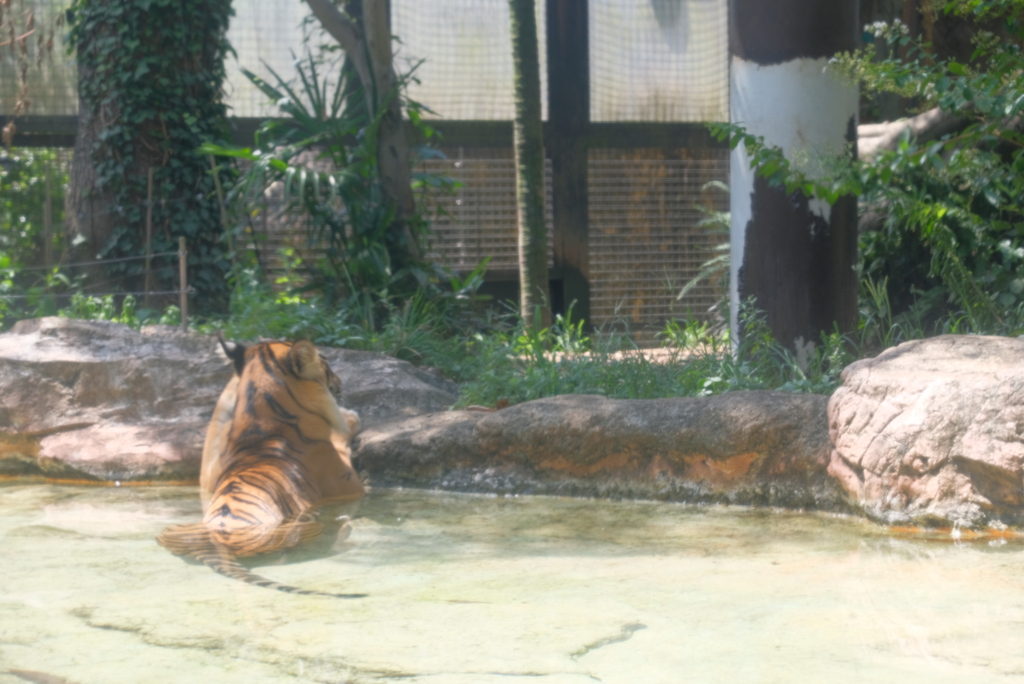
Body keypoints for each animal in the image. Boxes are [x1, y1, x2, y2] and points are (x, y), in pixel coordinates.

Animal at [155, 335, 368, 597]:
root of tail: (216, 546)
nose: (341, 382)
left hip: (168, 531)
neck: (261, 420)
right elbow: (341, 439)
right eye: (326, 365)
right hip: (304, 529)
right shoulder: (349, 484)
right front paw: (351, 418)